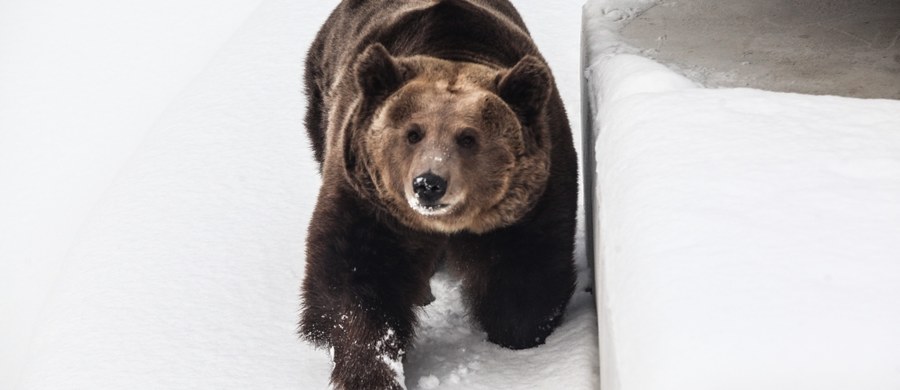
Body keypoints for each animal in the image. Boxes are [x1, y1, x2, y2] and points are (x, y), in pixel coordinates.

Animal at [298, 1, 572, 388]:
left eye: (468, 138)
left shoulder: (529, 206)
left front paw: (517, 339)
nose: (428, 184)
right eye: (413, 133)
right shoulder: (370, 203)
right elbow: (356, 281)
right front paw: (373, 369)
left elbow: (527, 276)